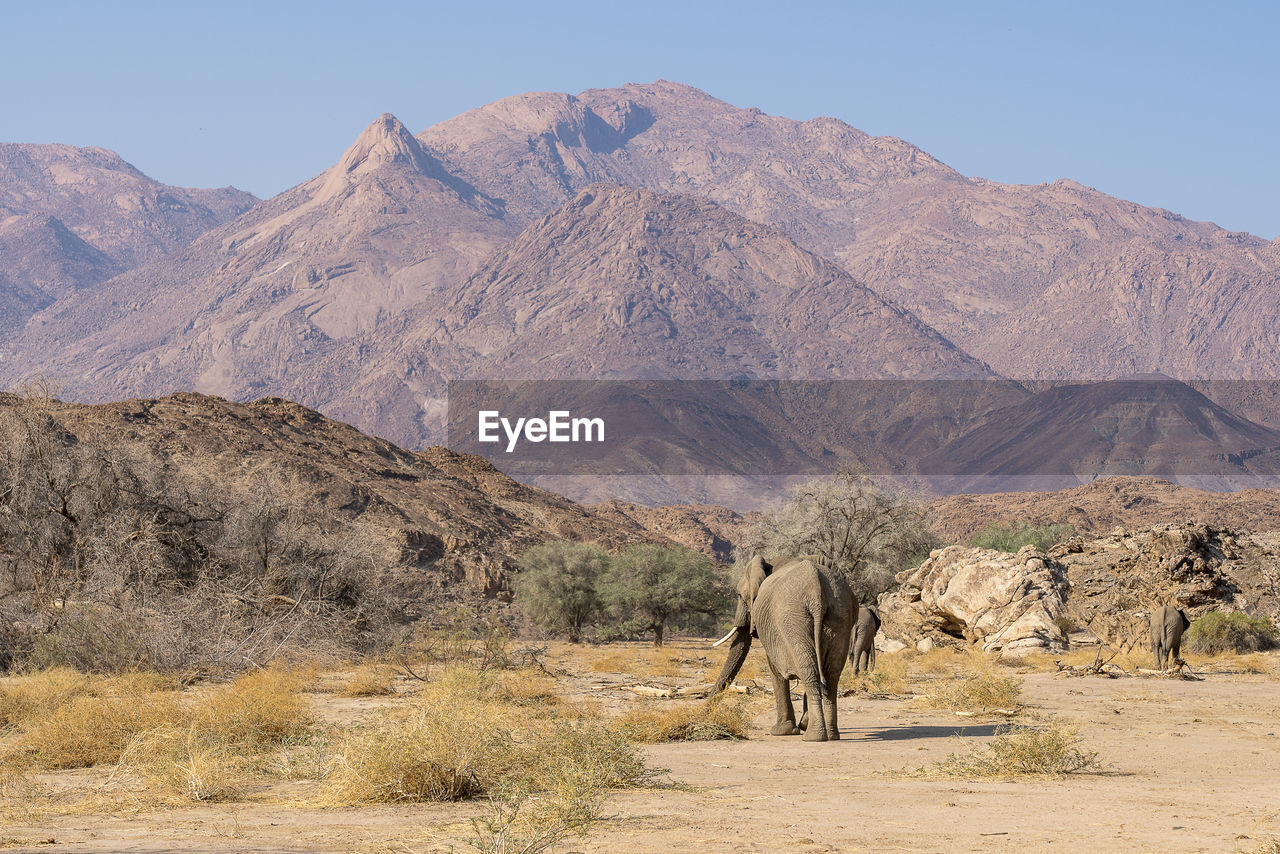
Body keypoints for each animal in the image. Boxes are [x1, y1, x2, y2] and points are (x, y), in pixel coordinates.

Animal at [711, 554, 856, 742]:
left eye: (739, 595)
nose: (707, 711)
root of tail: (817, 593)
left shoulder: (772, 631)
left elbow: (775, 670)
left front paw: (781, 731)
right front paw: (801, 724)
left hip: (791, 619)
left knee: (810, 671)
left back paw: (814, 736)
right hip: (839, 614)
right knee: (831, 673)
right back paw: (831, 735)